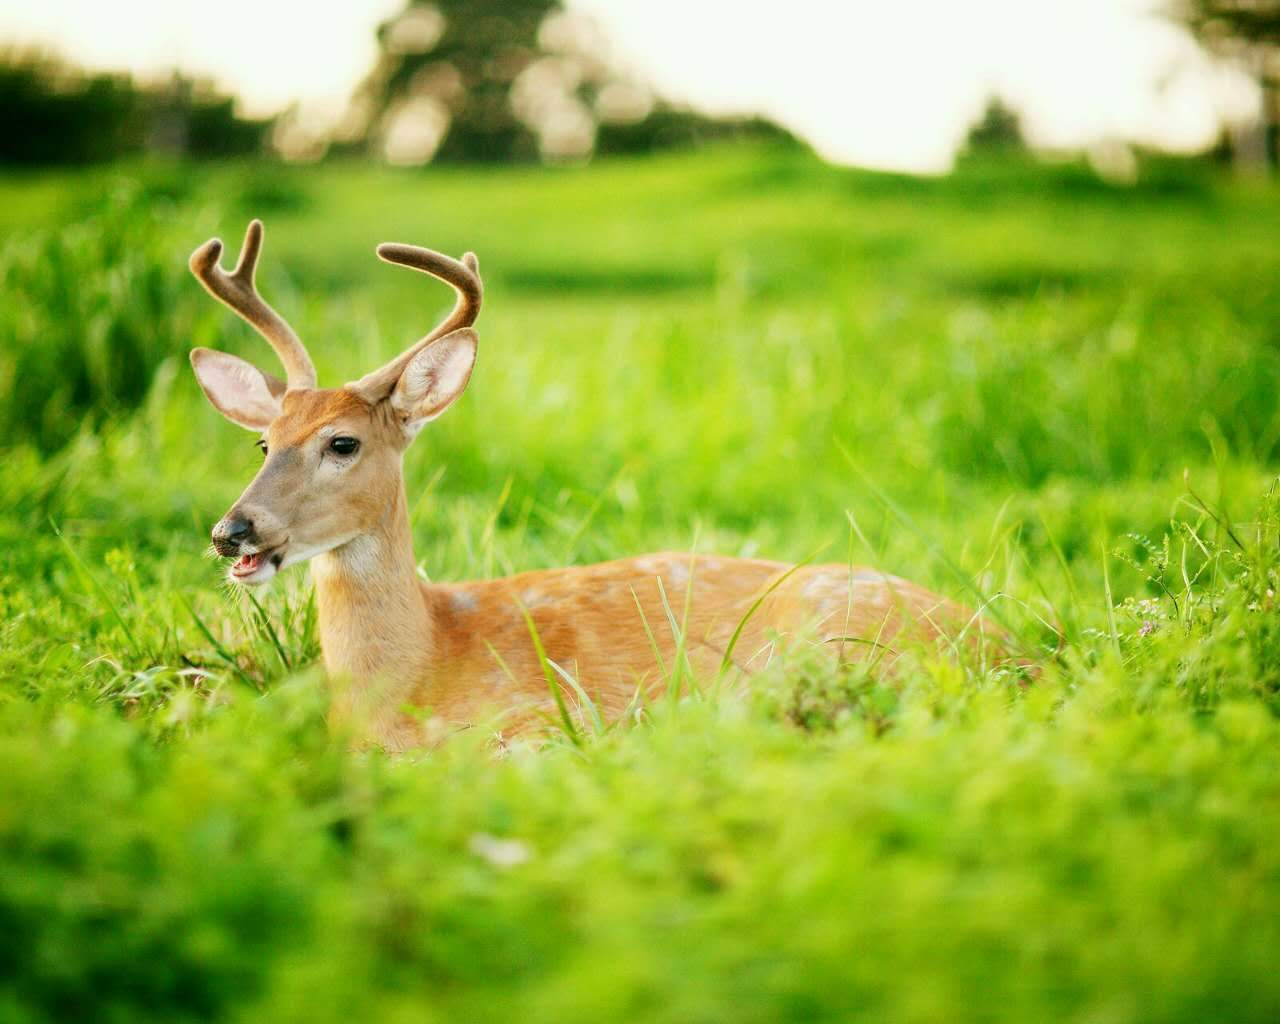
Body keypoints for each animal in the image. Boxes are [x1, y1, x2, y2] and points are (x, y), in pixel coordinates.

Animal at [189, 220, 1011, 750]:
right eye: (264, 441)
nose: (233, 530)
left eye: (343, 442)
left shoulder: (539, 722)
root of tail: (1013, 650)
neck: (414, 670)